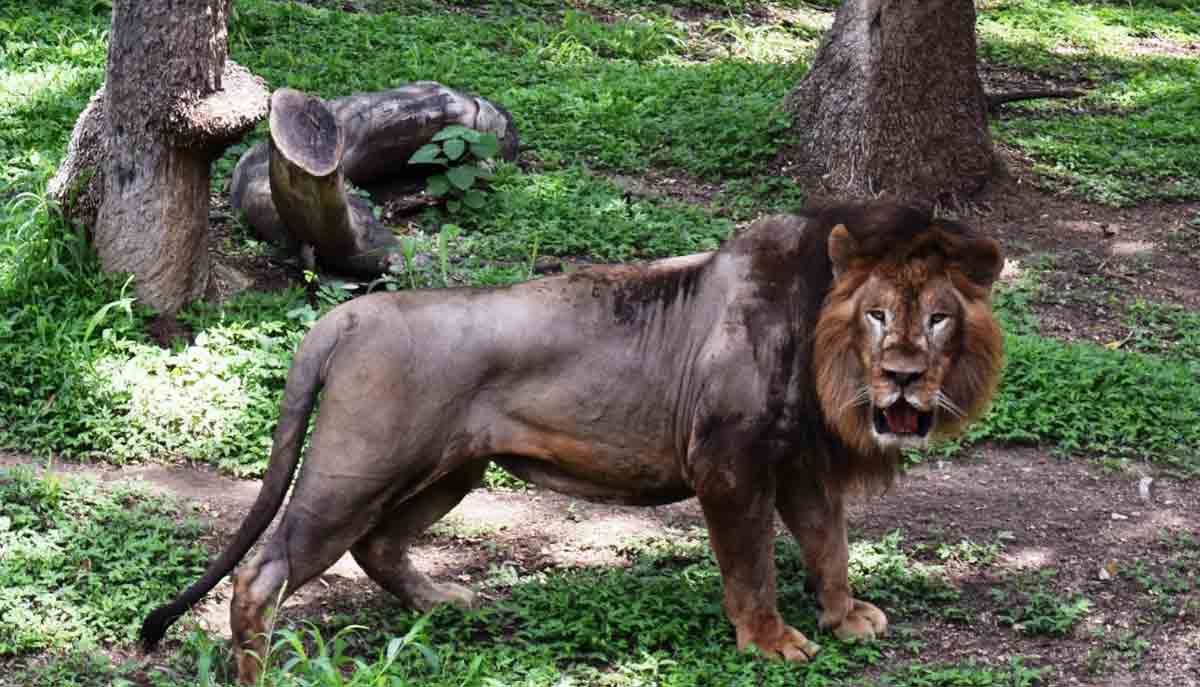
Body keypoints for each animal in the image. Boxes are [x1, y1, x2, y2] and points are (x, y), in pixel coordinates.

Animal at [140, 202, 1003, 683]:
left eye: (938, 317)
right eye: (878, 314)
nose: (903, 378)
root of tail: (347, 314)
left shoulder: (799, 462)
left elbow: (830, 543)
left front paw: (845, 615)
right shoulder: (728, 462)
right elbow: (753, 564)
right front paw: (771, 642)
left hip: (449, 470)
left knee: (377, 545)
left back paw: (448, 604)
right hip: (357, 468)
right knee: (263, 572)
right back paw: (258, 671)